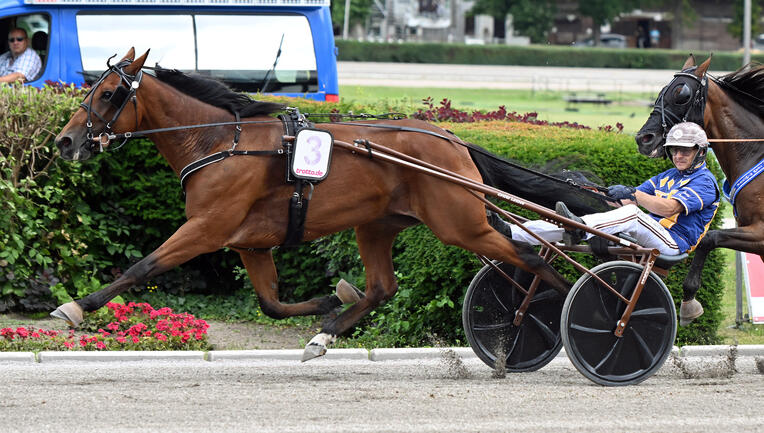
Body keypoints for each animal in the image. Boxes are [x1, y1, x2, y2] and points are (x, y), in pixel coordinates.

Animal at [53, 48, 572, 358]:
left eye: (109, 93)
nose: (64, 141)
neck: (222, 142)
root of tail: (452, 138)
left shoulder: (207, 227)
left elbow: (143, 266)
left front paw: (76, 306)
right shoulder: (250, 244)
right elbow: (270, 304)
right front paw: (329, 299)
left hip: (460, 223)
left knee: (531, 259)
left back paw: (574, 313)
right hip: (377, 224)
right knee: (383, 287)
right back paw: (325, 333)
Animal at [632, 54, 764, 320]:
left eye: (681, 94)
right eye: (661, 91)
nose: (644, 138)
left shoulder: (761, 232)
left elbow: (708, 238)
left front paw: (689, 299)